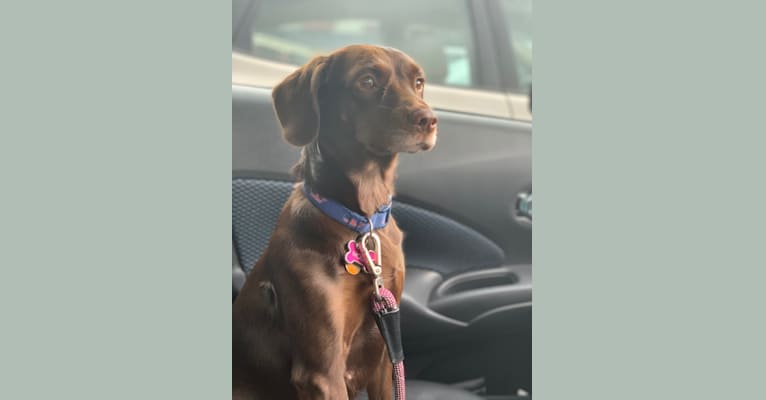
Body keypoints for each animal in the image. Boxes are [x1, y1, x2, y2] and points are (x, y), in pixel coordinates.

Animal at [232, 45, 438, 398]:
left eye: (419, 82)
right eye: (367, 81)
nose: (429, 120)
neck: (361, 221)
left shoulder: (385, 352)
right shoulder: (322, 371)